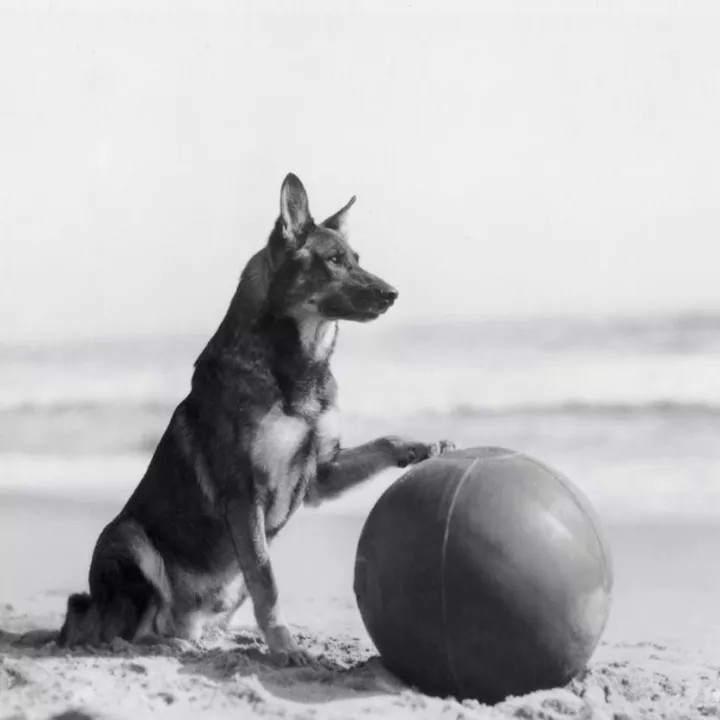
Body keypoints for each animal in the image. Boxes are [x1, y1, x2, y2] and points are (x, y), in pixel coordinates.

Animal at [60, 173, 456, 664]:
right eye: (333, 261)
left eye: (356, 260)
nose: (393, 295)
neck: (297, 365)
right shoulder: (244, 495)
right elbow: (267, 581)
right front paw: (285, 646)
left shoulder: (321, 475)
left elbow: (381, 443)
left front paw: (423, 446)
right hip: (128, 539)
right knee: (126, 631)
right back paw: (155, 642)